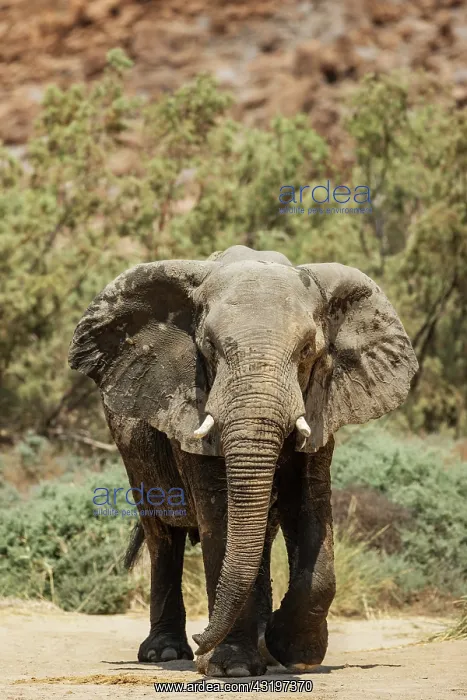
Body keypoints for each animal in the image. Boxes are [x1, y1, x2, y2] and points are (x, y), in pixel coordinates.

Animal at [68, 245, 418, 677]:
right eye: (209, 349)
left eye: (308, 352)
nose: (201, 641)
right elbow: (219, 515)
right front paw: (231, 667)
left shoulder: (322, 406)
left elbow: (310, 504)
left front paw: (296, 654)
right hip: (132, 452)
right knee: (162, 537)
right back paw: (165, 653)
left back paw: (262, 652)